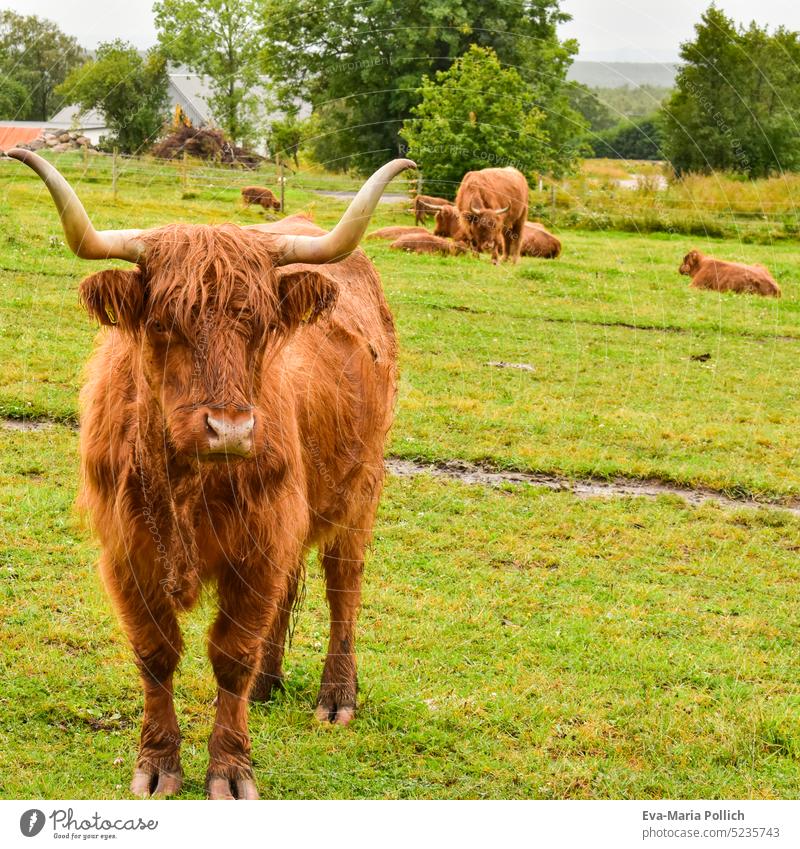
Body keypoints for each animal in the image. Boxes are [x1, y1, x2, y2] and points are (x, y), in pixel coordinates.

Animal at [6, 147, 416, 800]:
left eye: (261, 326)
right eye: (163, 324)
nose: (230, 429)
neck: (183, 484)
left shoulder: (260, 542)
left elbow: (231, 654)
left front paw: (229, 769)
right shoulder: (125, 550)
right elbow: (155, 651)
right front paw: (157, 764)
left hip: (361, 487)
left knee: (342, 584)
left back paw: (336, 697)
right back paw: (270, 686)